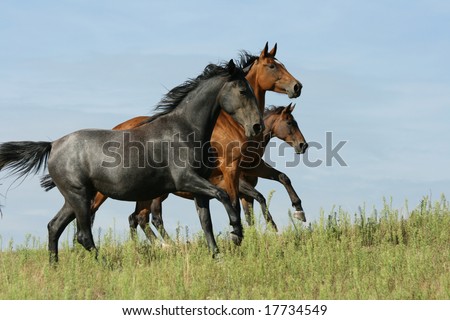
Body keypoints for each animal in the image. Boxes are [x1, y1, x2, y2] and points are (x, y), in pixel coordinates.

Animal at [0, 60, 264, 262]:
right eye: (242, 90)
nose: (257, 126)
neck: (183, 130)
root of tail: (53, 144)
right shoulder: (187, 180)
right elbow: (224, 196)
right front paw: (236, 232)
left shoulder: (198, 188)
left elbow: (206, 222)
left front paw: (218, 256)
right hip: (80, 196)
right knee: (83, 235)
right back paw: (103, 265)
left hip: (74, 197)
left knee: (54, 227)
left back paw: (54, 267)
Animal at [89, 41, 304, 240]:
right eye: (272, 66)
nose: (297, 86)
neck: (233, 125)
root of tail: (116, 128)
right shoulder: (231, 170)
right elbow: (240, 202)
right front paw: (240, 234)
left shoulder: (250, 168)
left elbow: (281, 179)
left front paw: (296, 212)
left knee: (136, 217)